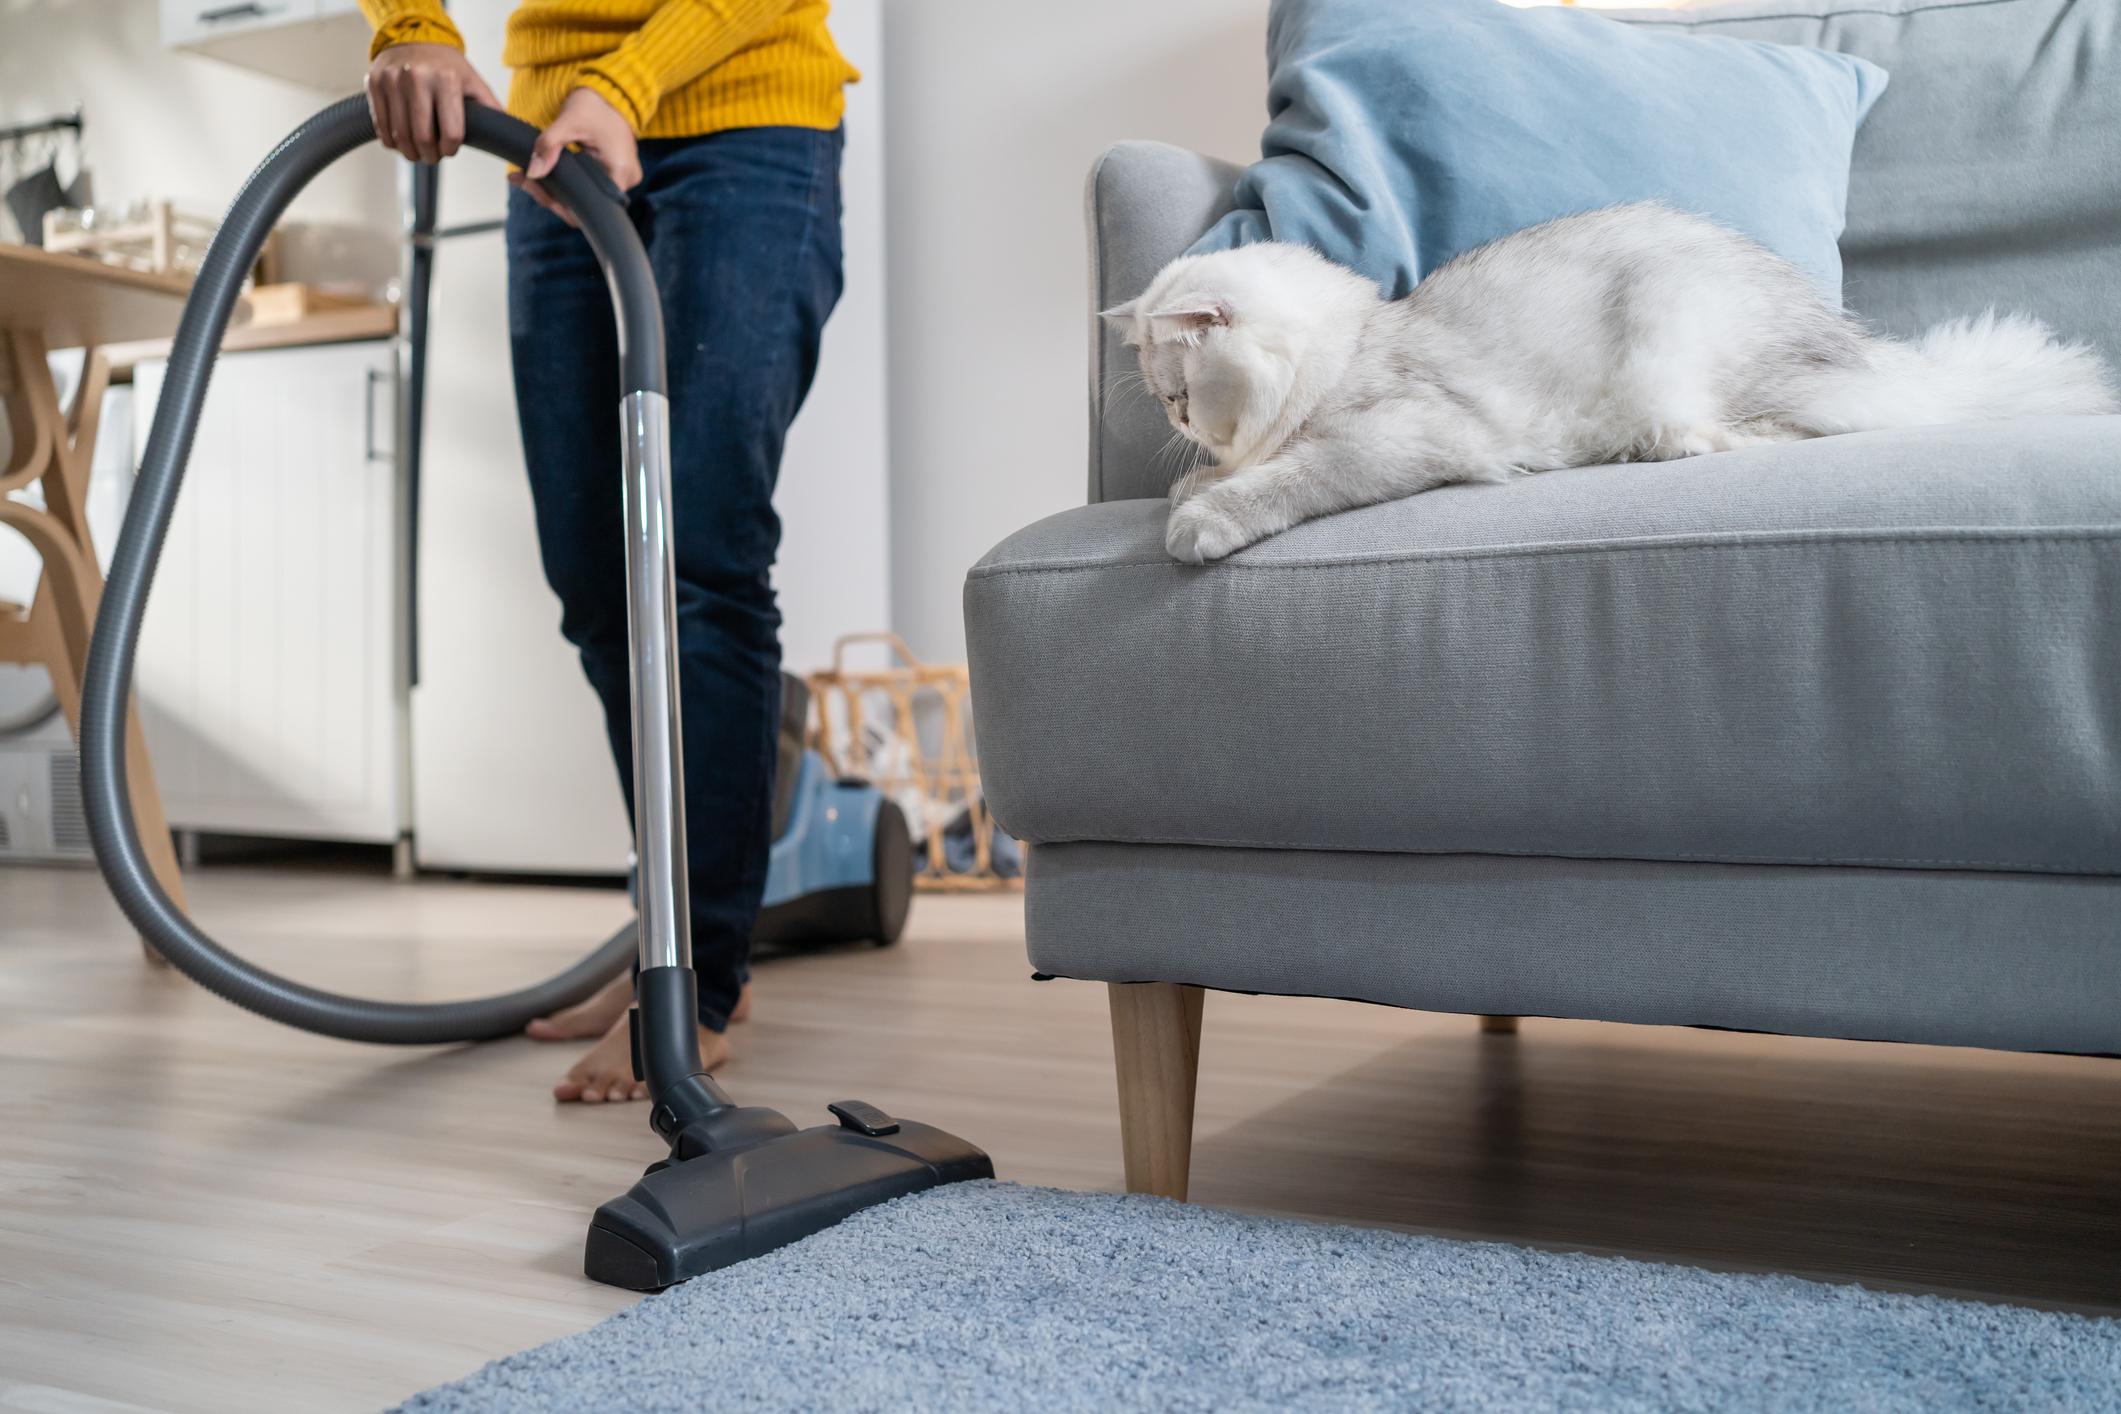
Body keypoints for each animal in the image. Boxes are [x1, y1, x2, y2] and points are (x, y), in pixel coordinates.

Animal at [1111, 203, 2121, 563]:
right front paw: (1196, 488)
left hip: (1680, 346)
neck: (1355, 341)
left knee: (1758, 432)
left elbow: (1286, 478)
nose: (1180, 425)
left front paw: (1197, 519)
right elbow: (1243, 472)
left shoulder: (1396, 435)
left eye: (1177, 393)